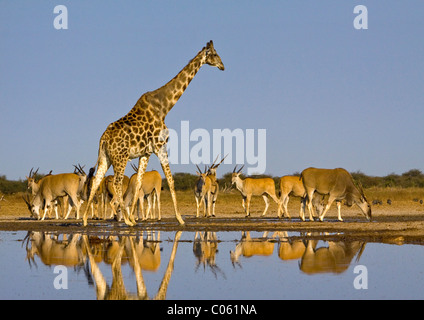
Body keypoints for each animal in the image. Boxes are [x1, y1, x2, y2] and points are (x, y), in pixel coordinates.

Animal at [84, 40, 227, 228]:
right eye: (215, 54)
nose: (223, 66)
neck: (164, 106)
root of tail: (103, 139)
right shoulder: (161, 146)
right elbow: (171, 181)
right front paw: (180, 218)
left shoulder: (145, 153)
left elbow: (138, 183)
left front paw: (134, 218)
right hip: (120, 158)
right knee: (116, 182)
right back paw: (125, 220)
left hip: (105, 158)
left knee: (95, 181)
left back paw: (85, 219)